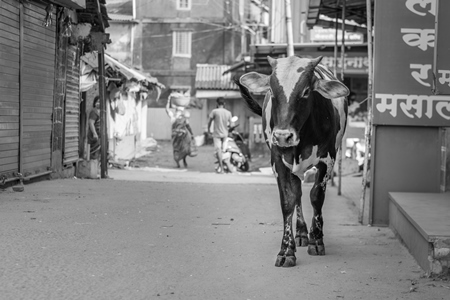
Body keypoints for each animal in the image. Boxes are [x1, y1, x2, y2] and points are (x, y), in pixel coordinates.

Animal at [234, 55, 350, 268]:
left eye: (306, 91)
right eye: (272, 90)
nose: (282, 136)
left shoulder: (327, 160)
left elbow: (316, 197)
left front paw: (317, 240)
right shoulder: (278, 162)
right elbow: (288, 200)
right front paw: (286, 251)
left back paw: (310, 234)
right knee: (297, 193)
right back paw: (302, 233)